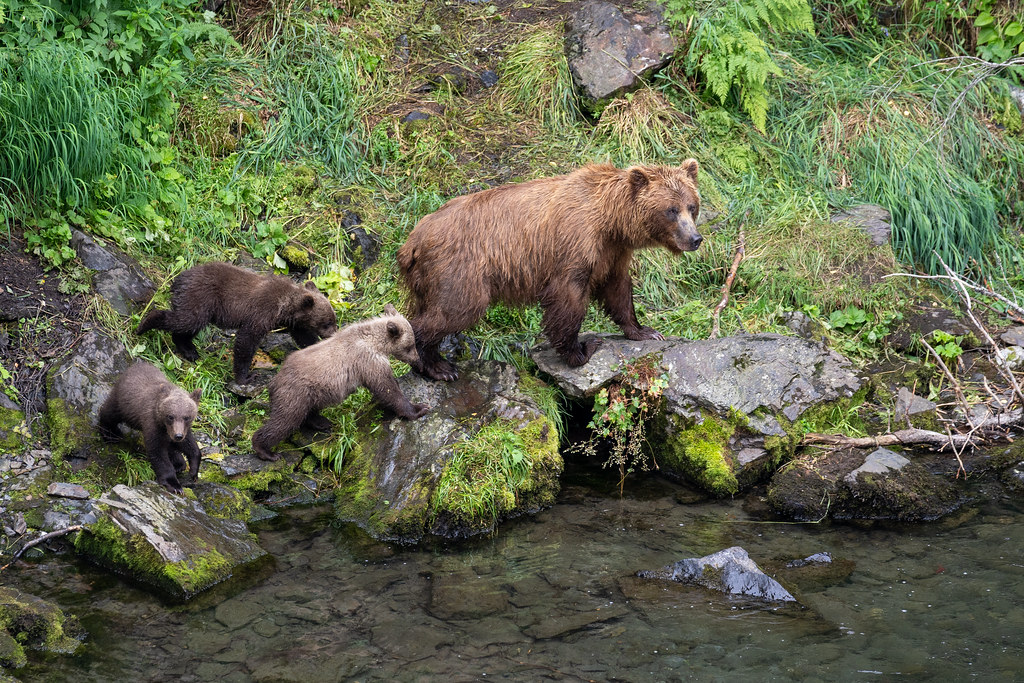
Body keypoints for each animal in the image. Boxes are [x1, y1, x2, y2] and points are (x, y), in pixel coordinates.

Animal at [98, 362, 203, 495]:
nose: (177, 436)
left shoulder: (182, 430)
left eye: (187, 417)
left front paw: (193, 471)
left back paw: (179, 463)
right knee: (110, 412)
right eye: (170, 416)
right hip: (123, 404)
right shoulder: (153, 425)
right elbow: (158, 453)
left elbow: (190, 445)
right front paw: (174, 485)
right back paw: (109, 433)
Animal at [137, 262, 338, 384]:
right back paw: (144, 324)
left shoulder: (293, 322)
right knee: (185, 320)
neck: (285, 307)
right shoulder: (261, 313)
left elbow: (304, 337)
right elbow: (246, 341)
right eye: (327, 322)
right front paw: (245, 377)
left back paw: (190, 350)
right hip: (201, 297)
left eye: (333, 319)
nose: (334, 332)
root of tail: (179, 278)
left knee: (189, 326)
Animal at [251, 304, 430, 461]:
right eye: (410, 346)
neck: (376, 342)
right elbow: (387, 390)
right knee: (284, 421)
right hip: (295, 393)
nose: (418, 362)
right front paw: (418, 408)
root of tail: (274, 382)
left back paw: (322, 422)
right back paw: (266, 450)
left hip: (311, 395)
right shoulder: (367, 362)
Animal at [396, 161, 703, 380]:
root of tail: (412, 241)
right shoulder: (575, 242)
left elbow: (618, 288)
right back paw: (438, 366)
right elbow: (569, 299)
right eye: (671, 210)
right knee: (453, 310)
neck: (611, 221)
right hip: (460, 269)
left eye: (692, 206)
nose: (695, 239)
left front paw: (645, 331)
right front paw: (582, 350)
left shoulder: (612, 252)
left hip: (427, 280)